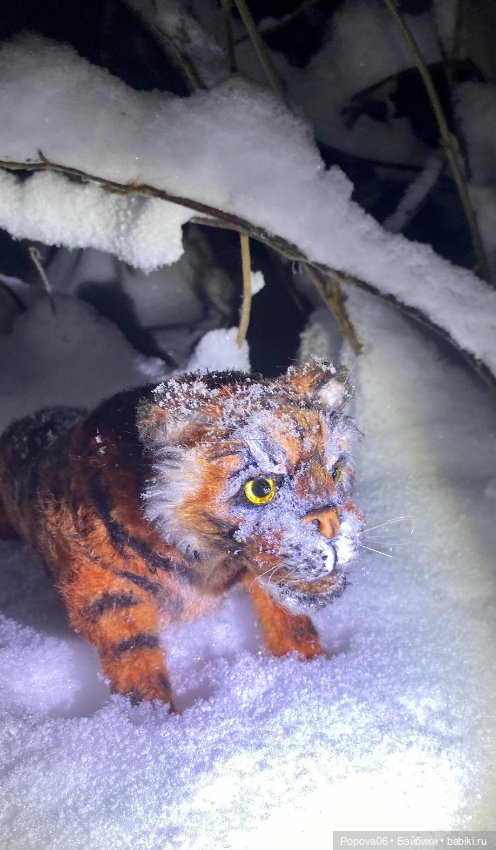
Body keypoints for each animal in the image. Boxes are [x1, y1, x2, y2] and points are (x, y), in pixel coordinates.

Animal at [0, 360, 362, 709]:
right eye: (260, 488)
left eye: (335, 472)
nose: (332, 523)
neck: (204, 558)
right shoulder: (108, 594)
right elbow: (134, 660)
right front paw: (152, 720)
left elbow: (289, 619)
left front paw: (310, 670)